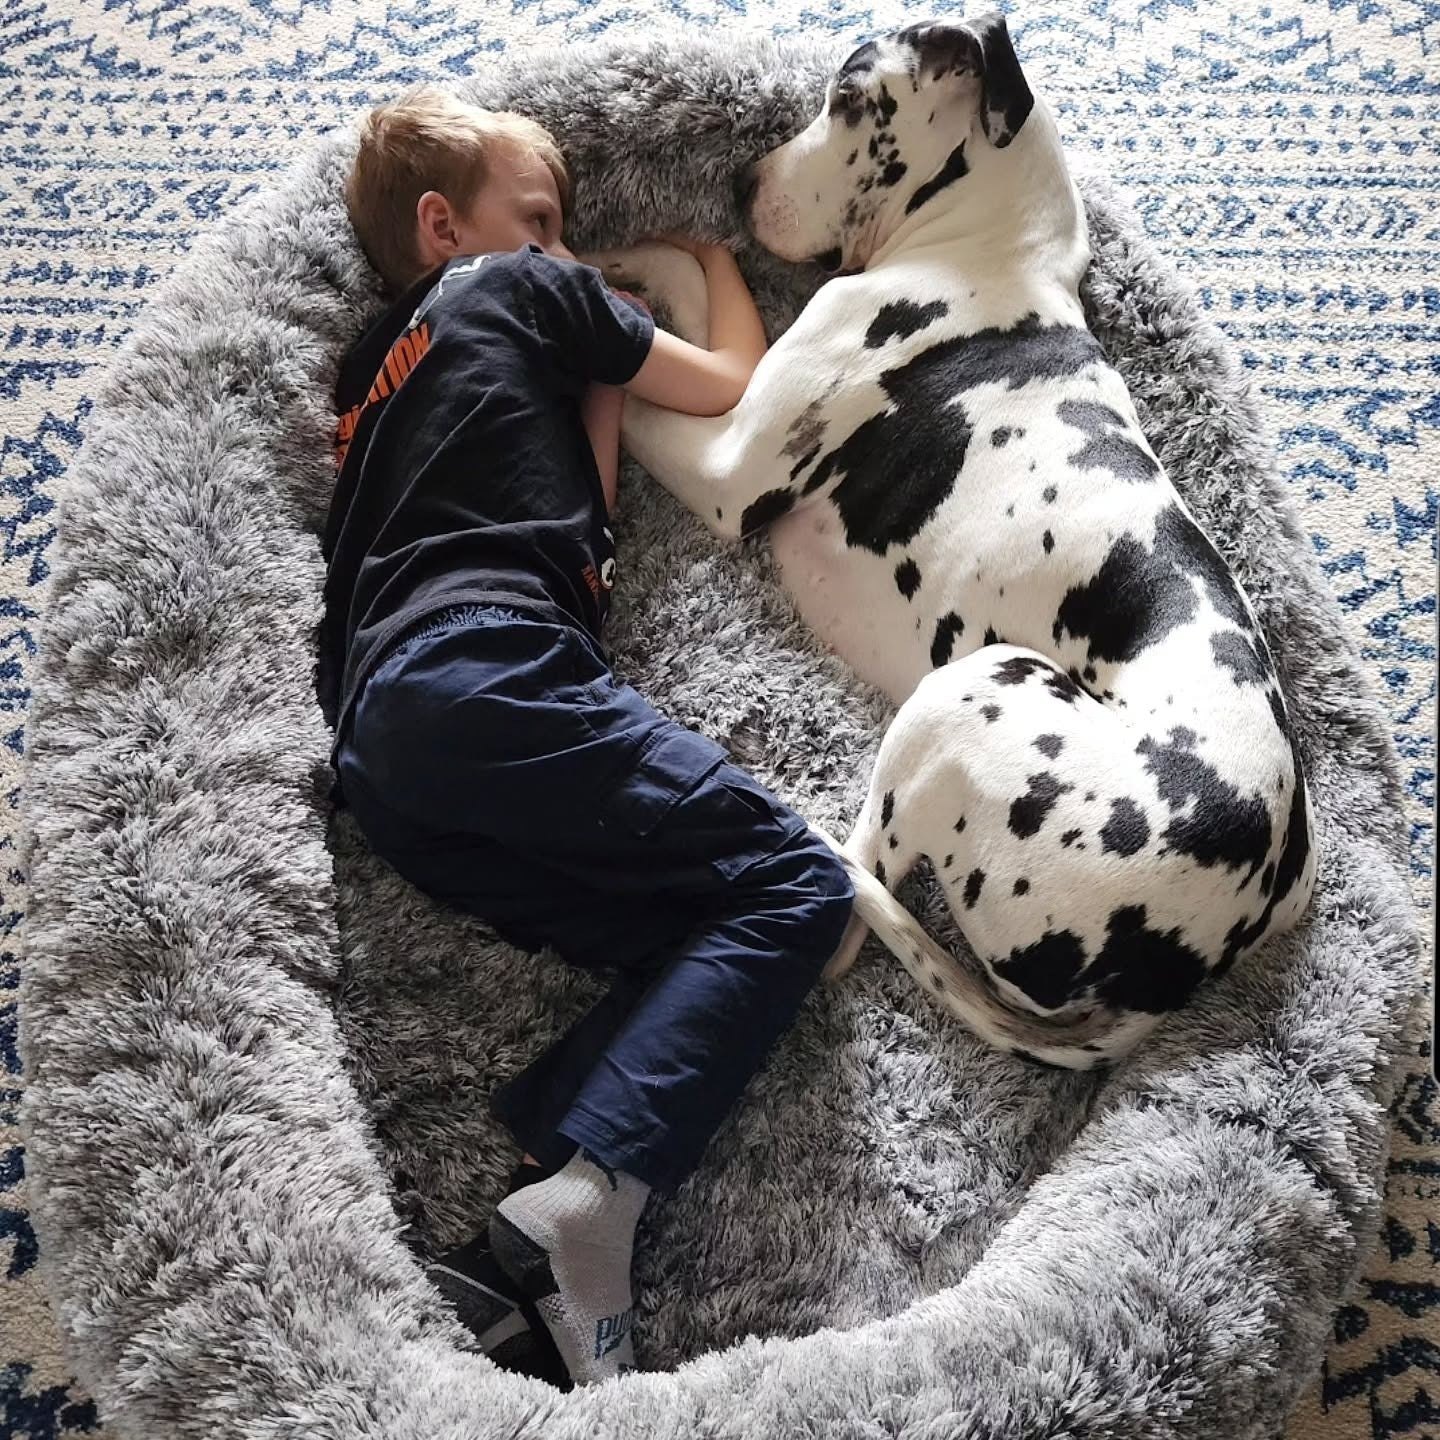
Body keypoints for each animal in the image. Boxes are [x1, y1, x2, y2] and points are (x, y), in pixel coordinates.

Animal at [592, 12, 1317, 1067]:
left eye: (851, 97)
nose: (739, 185)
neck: (986, 254)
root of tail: (1170, 974)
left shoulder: (730, 470)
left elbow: (646, 391)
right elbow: (693, 296)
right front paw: (633, 256)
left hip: (970, 691)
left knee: (852, 905)